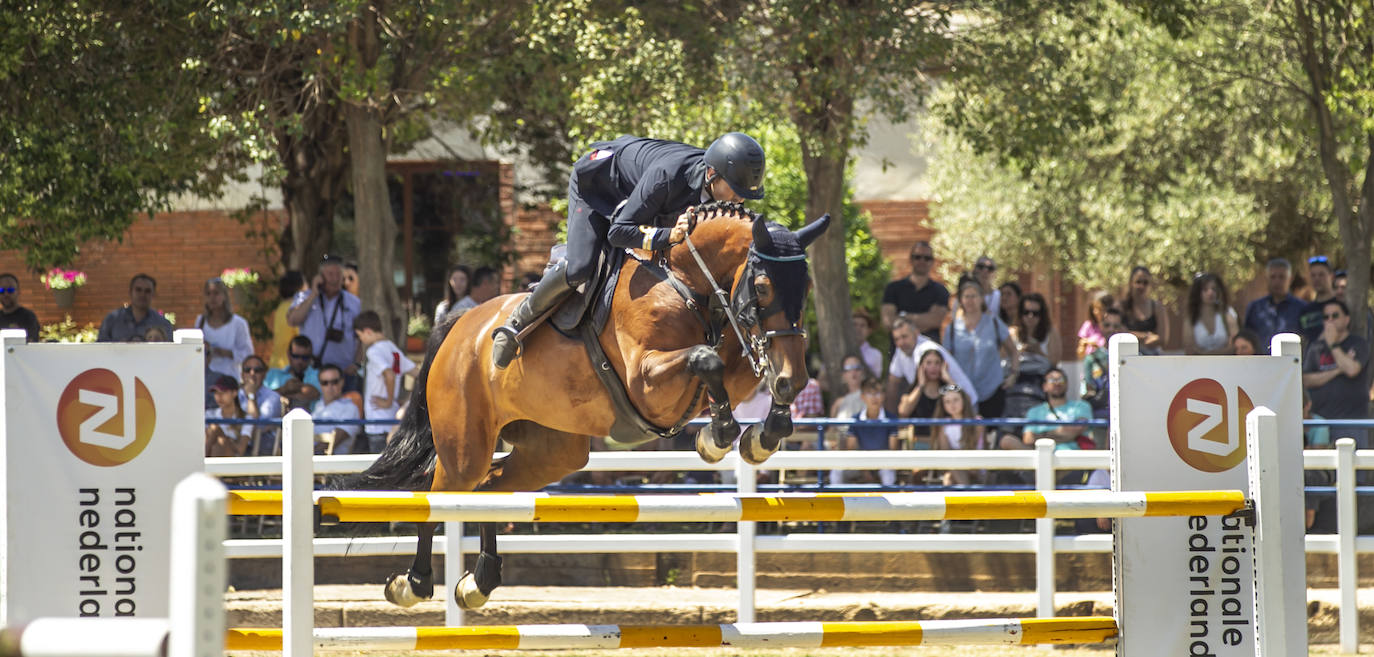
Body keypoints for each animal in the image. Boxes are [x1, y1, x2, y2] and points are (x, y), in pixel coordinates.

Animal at [348, 202, 829, 610]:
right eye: (763, 287)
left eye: (807, 288)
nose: (794, 377)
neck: (686, 279)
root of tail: (457, 324)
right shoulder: (645, 380)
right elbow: (705, 359)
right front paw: (719, 436)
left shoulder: (728, 358)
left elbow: (737, 370)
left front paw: (762, 434)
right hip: (465, 446)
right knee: (439, 492)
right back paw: (412, 583)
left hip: (553, 450)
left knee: (490, 488)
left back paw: (478, 582)